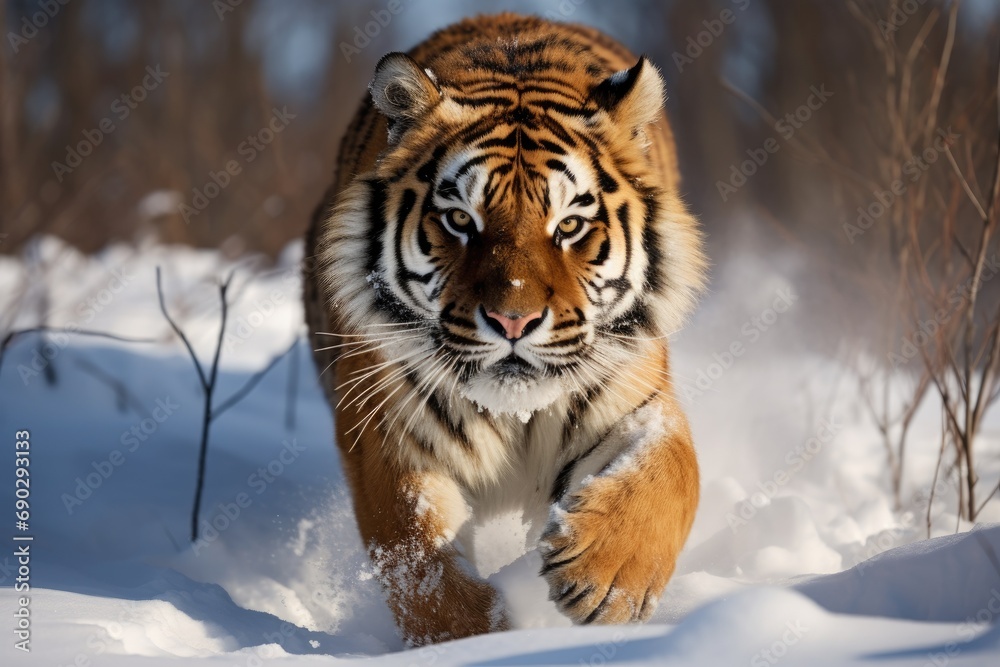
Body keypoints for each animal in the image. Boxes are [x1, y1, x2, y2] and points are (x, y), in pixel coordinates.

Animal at [303, 13, 706, 646]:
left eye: (569, 225)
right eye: (459, 220)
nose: (512, 320)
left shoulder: (635, 393)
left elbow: (670, 472)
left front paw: (604, 582)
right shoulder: (387, 430)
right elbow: (416, 559)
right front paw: (478, 641)